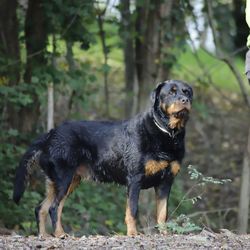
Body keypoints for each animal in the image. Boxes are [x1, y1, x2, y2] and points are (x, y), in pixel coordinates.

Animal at [12, 79, 193, 237]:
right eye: (171, 92)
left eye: (187, 92)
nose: (185, 100)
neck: (167, 133)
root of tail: (50, 134)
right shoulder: (135, 179)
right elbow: (132, 210)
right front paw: (133, 233)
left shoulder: (166, 182)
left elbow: (163, 213)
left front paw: (164, 234)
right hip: (64, 178)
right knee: (53, 207)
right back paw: (59, 234)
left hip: (65, 181)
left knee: (41, 208)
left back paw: (44, 236)